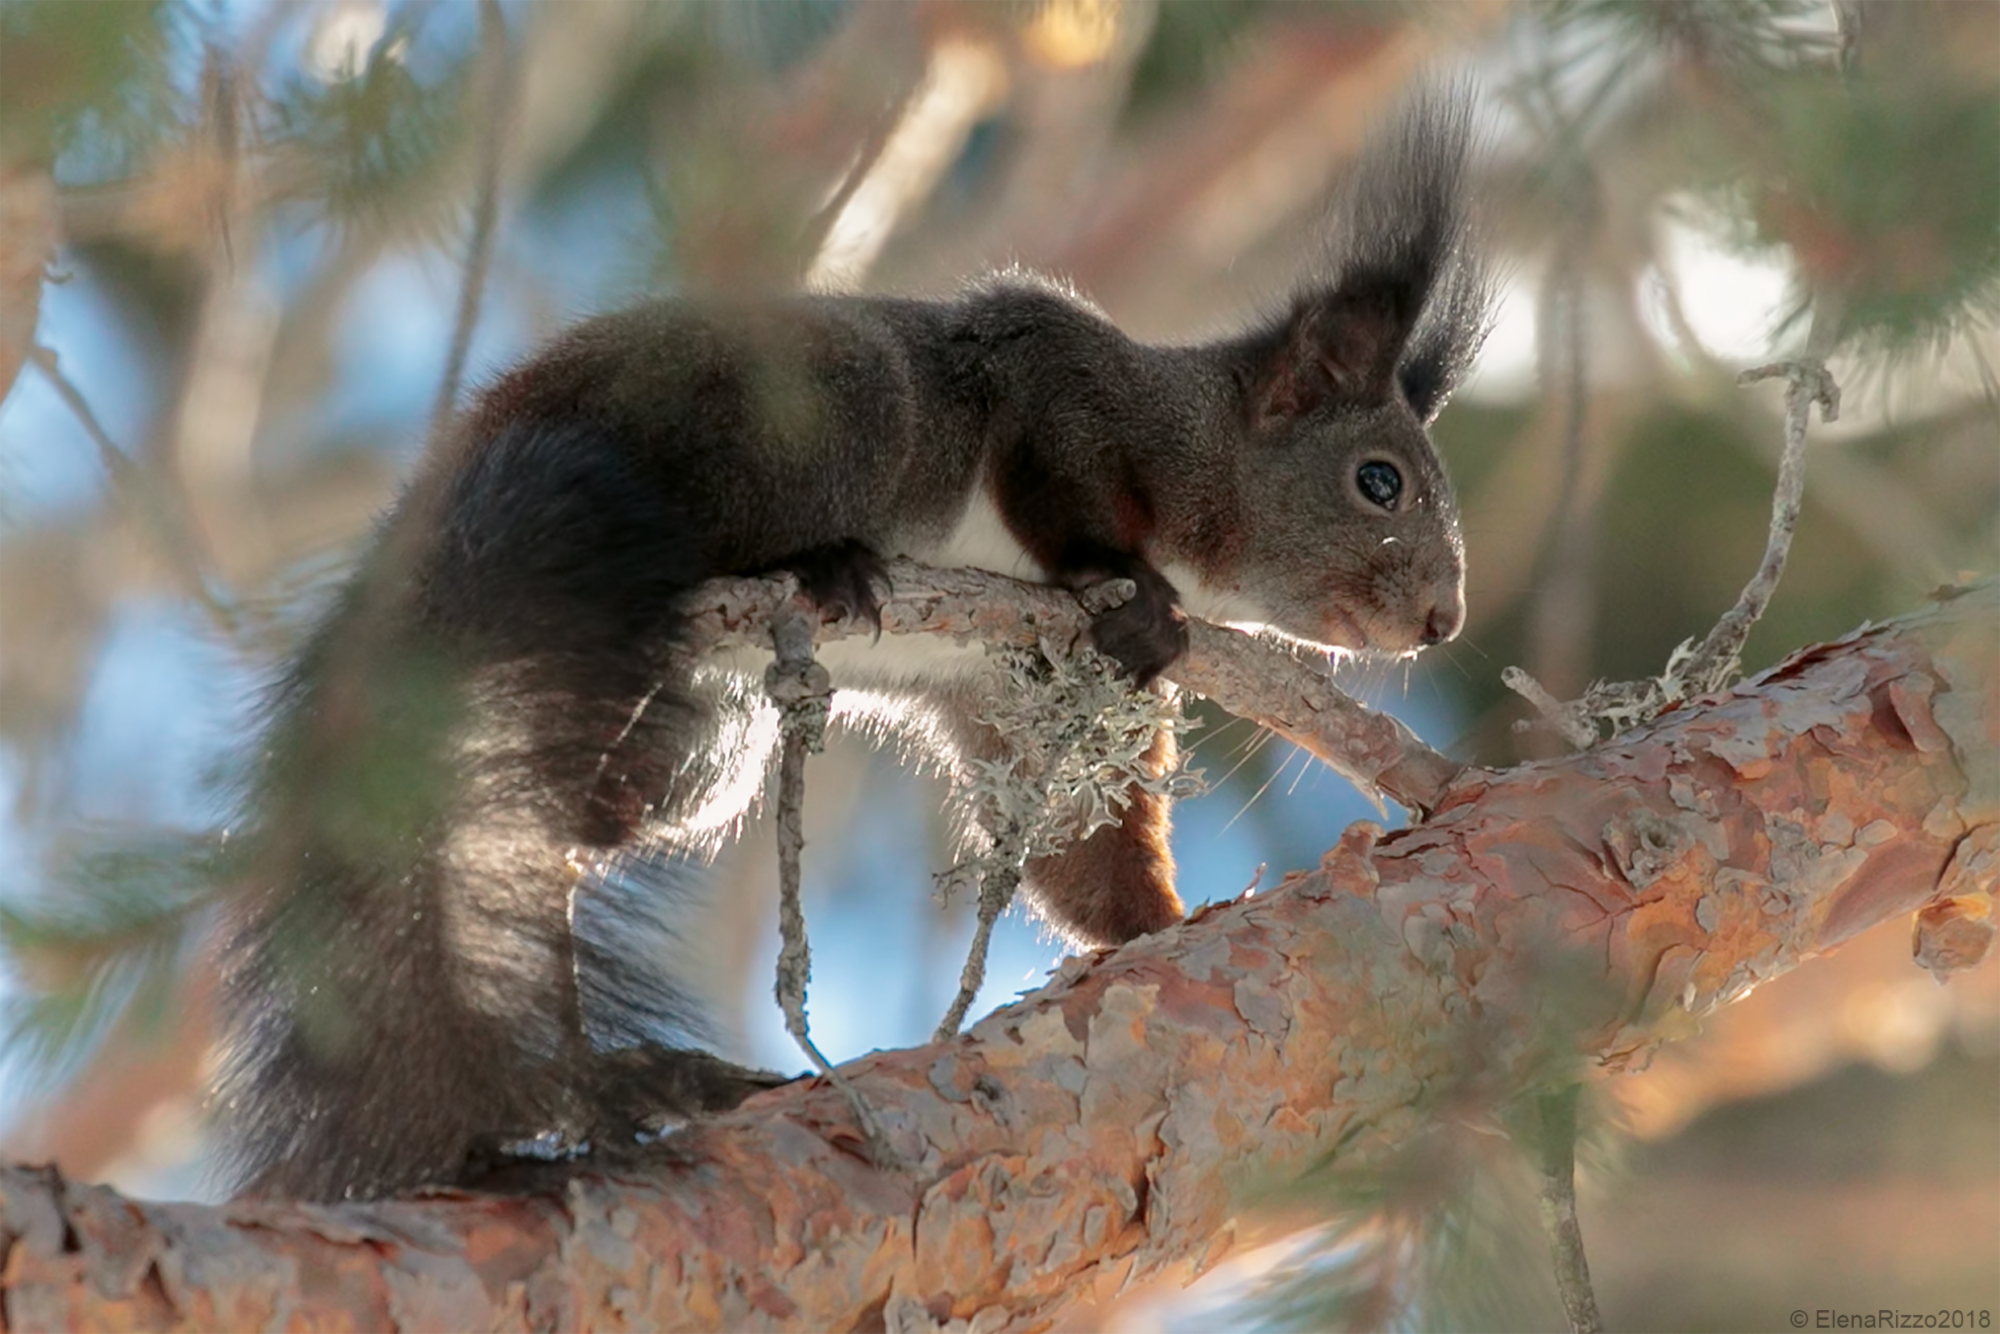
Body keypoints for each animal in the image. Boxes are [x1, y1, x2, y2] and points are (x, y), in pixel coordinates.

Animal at [211, 88, 1490, 1201]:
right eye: (1377, 481)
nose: (1442, 624)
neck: (1196, 466)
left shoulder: (1014, 688)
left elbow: (1083, 848)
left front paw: (1163, 925)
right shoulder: (1056, 382)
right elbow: (1062, 486)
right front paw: (1126, 590)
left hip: (692, 752)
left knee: (556, 824)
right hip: (824, 410)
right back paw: (824, 562)